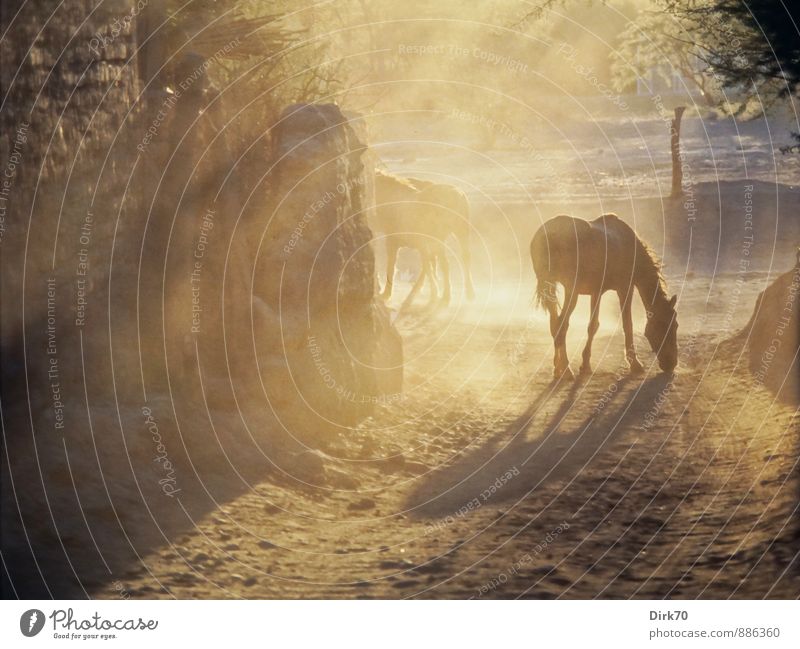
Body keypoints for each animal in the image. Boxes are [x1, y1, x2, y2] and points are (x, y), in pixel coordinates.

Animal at [376, 167, 476, 304]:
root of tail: (457, 193)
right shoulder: (421, 245)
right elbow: (427, 266)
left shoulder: (394, 242)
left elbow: (392, 266)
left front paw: (386, 294)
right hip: (460, 234)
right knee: (465, 258)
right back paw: (468, 292)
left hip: (442, 238)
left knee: (445, 264)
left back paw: (446, 296)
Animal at [528, 214, 680, 374]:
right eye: (666, 326)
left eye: (675, 325)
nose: (671, 364)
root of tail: (546, 234)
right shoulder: (625, 289)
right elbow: (627, 324)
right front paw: (635, 363)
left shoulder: (596, 292)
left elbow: (593, 326)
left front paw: (585, 364)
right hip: (571, 291)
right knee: (561, 325)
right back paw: (566, 369)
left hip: (552, 287)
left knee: (555, 324)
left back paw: (558, 368)